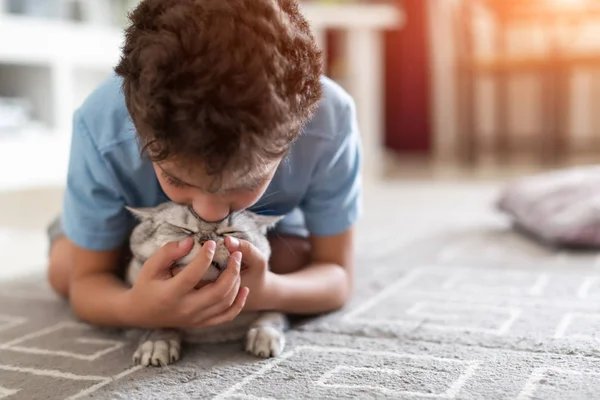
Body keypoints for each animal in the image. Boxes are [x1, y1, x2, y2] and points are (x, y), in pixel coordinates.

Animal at [124, 202, 288, 368]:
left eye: (230, 232)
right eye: (184, 229)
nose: (206, 242)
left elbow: (272, 314)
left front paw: (264, 335)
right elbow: (158, 319)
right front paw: (157, 342)